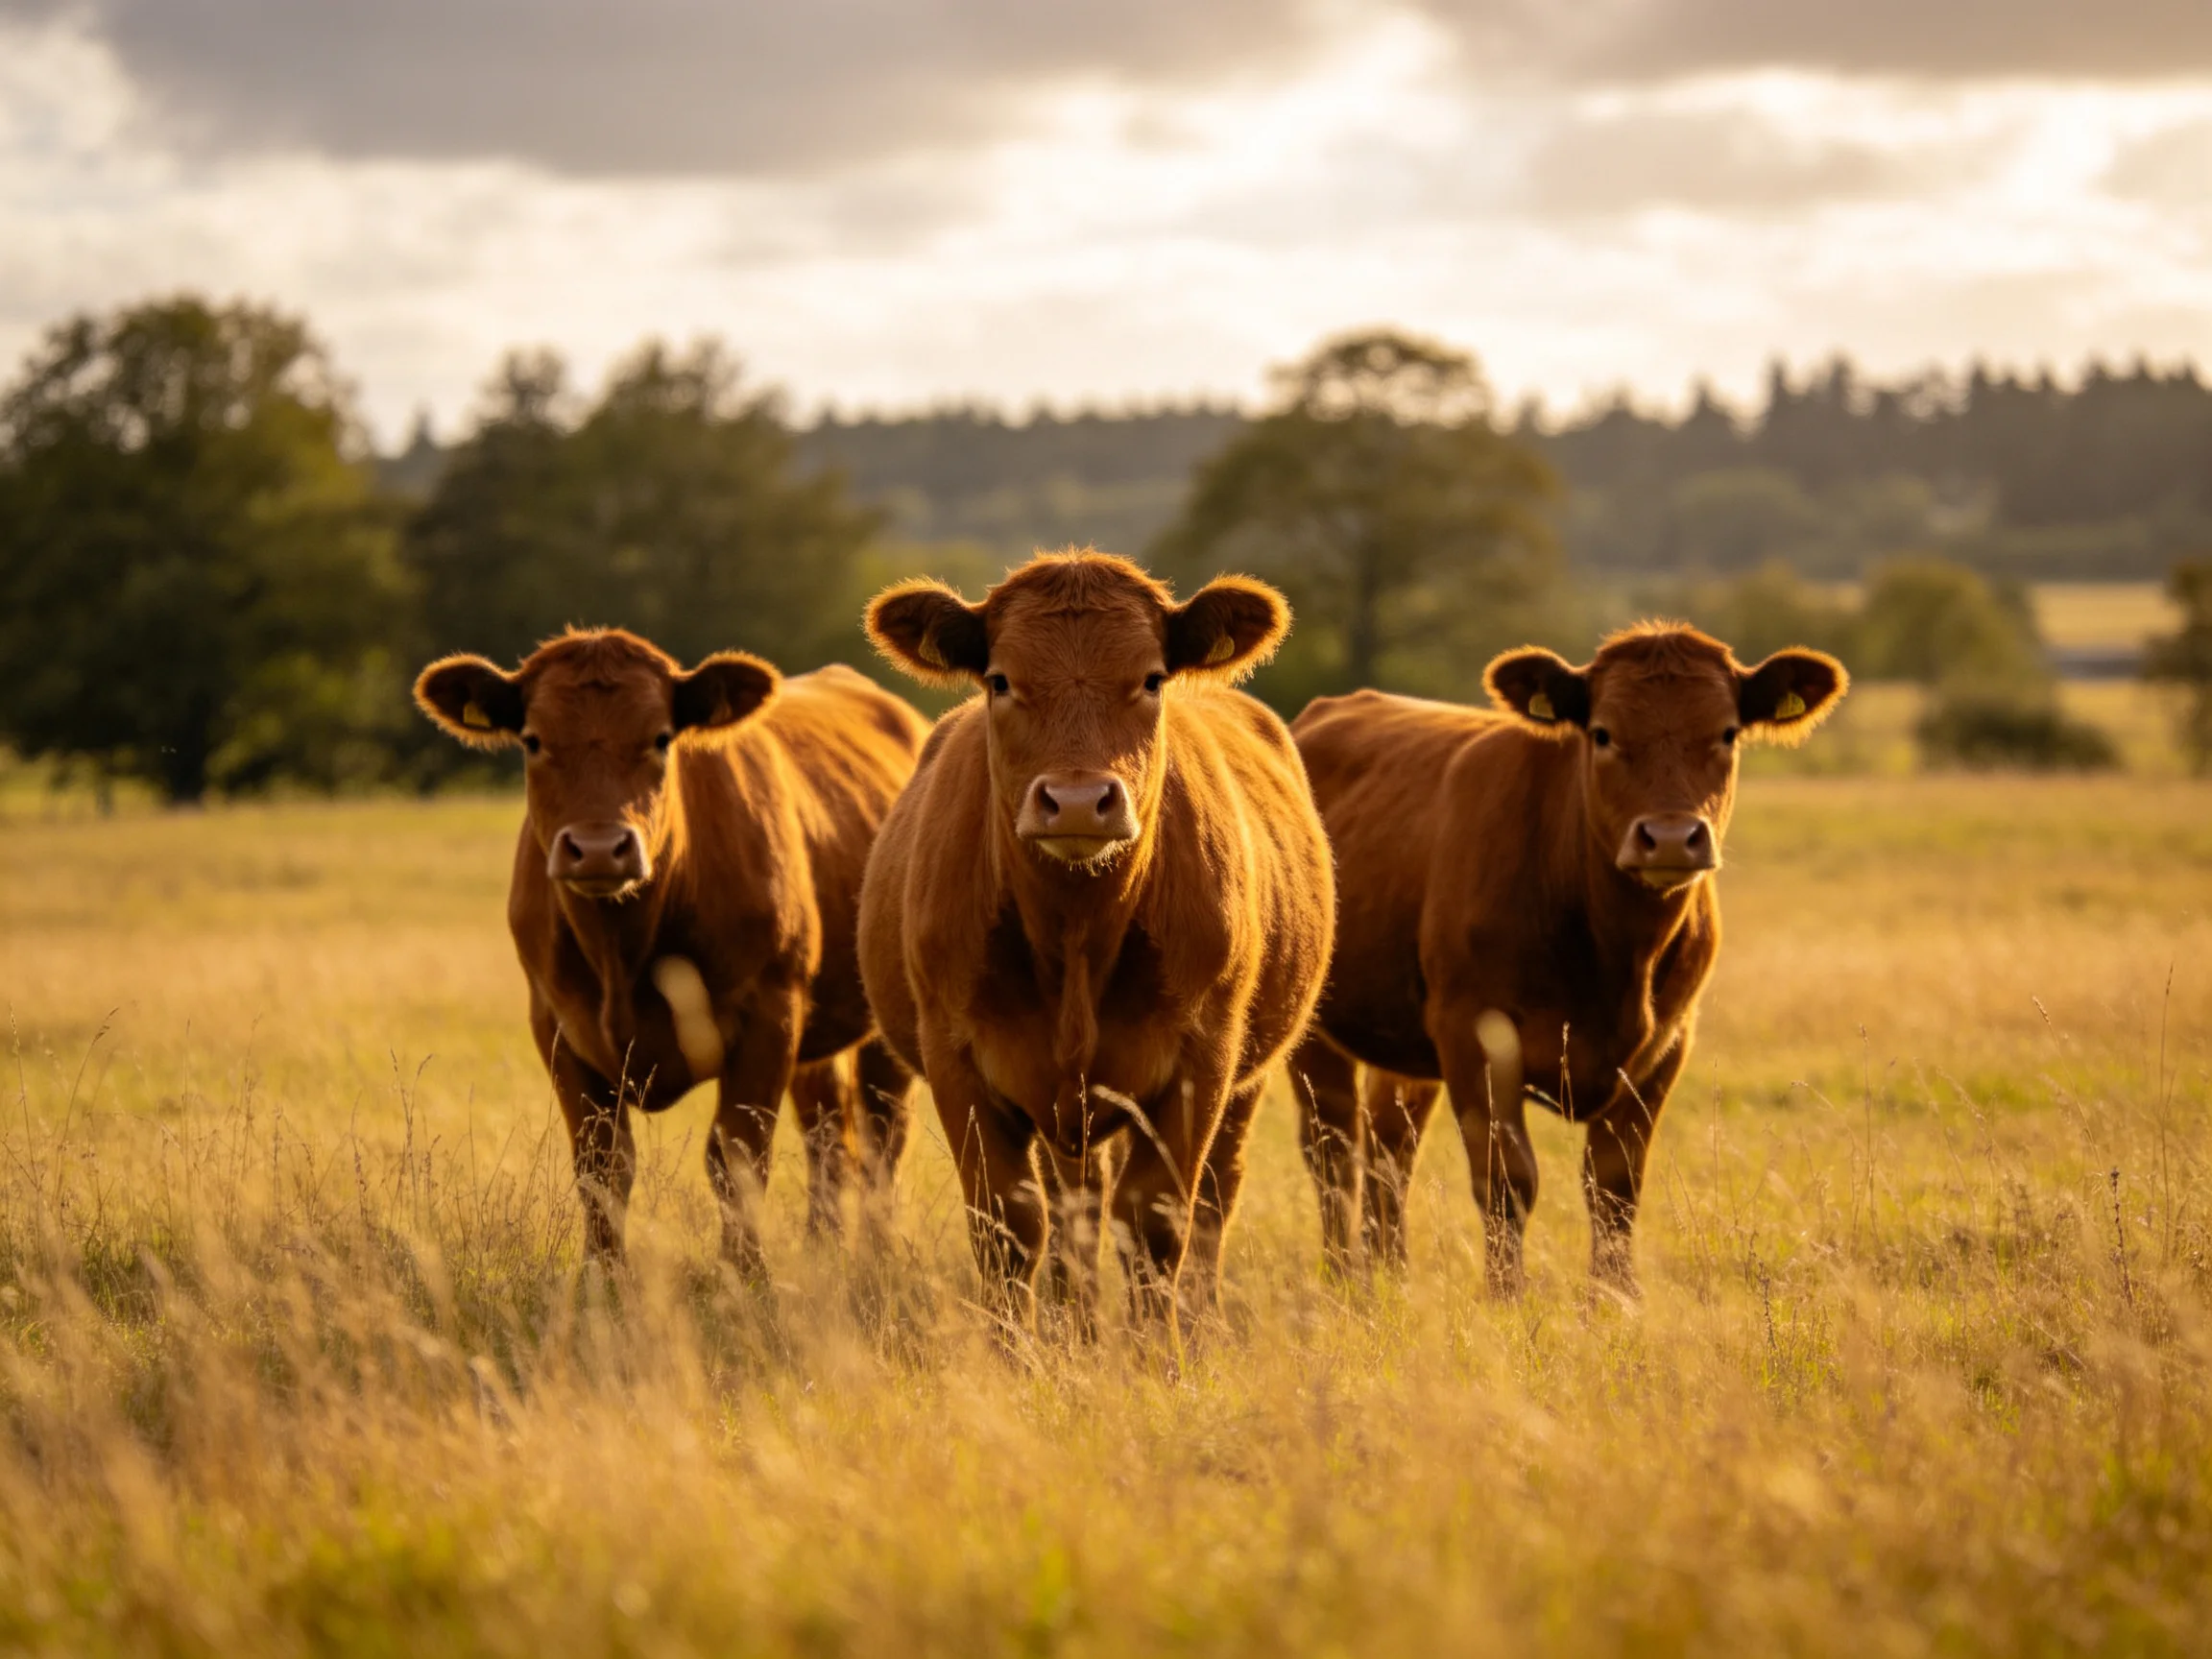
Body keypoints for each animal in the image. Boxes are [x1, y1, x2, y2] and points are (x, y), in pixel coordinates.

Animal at [414, 628, 931, 1268]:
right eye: (533, 740)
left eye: (661, 738)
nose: (598, 848)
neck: (622, 949)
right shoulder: (556, 1024)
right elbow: (602, 1166)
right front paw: (602, 1279)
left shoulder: (770, 1013)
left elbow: (737, 1157)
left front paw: (745, 1275)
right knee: (828, 1129)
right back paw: (822, 1250)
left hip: (882, 1022)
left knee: (882, 1132)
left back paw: (877, 1258)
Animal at [857, 550, 1335, 1346]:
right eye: (1000, 680)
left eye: (1151, 679)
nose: (1079, 801)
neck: (1077, 937)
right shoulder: (955, 1056)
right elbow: (1008, 1224)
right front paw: (1018, 1358)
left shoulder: (1201, 1060)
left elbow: (1156, 1222)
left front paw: (1156, 1359)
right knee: (1072, 1209)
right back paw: (1071, 1332)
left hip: (1244, 1077)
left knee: (1214, 1197)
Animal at [1288, 622, 1846, 1296]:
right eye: (1602, 732)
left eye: (1727, 732)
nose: (1669, 837)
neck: (1616, 958)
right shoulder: (1472, 1032)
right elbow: (1507, 1180)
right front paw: (1506, 1300)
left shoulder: (1668, 1043)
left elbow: (1615, 1186)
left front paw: (1615, 1299)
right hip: (1315, 1029)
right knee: (1333, 1149)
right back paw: (1342, 1279)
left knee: (1389, 1147)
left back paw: (1390, 1279)